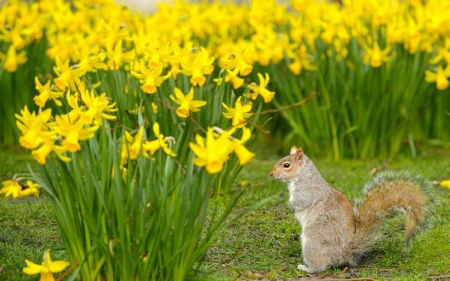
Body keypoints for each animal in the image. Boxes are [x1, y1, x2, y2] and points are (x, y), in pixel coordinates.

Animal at [268, 148, 430, 272]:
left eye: (287, 165)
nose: (271, 174)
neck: (303, 175)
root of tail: (344, 253)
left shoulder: (307, 191)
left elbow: (301, 201)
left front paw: (290, 205)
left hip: (312, 242)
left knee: (320, 267)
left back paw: (306, 268)